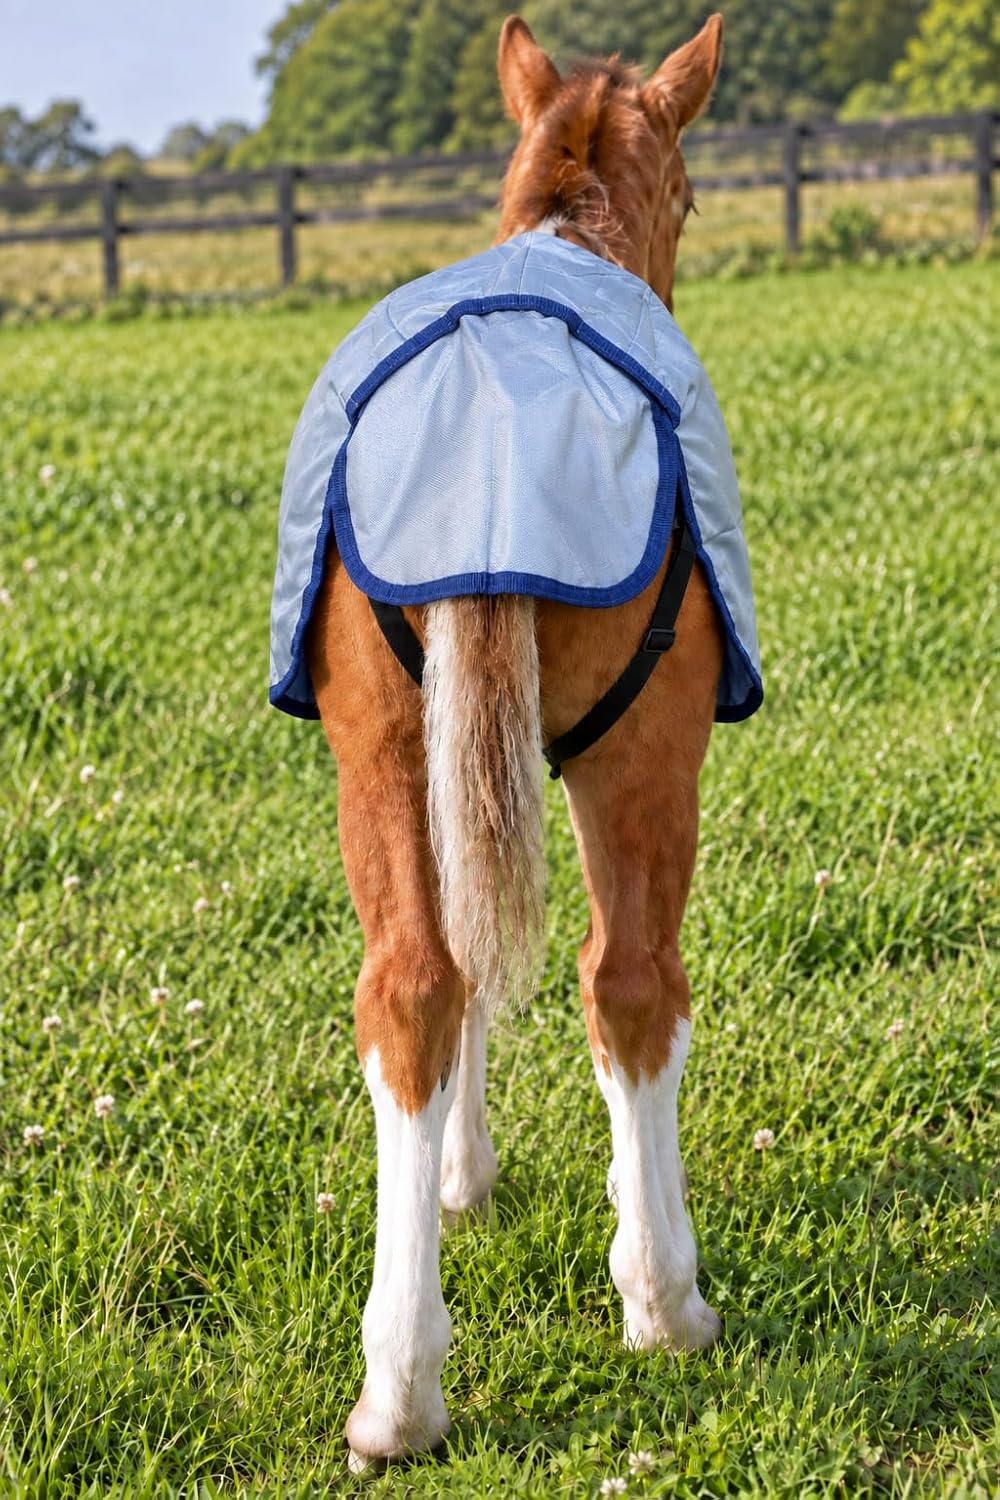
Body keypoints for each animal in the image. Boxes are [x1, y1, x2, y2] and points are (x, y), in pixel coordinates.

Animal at [283, 11, 755, 1468]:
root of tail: (484, 443)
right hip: (644, 753)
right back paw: (667, 1303)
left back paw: (397, 1388)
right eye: (693, 193)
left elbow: (469, 970)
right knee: (633, 985)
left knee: (412, 989)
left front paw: (457, 1179)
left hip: (384, 750)